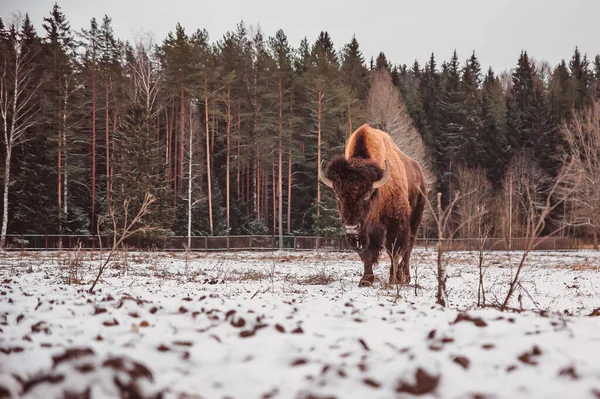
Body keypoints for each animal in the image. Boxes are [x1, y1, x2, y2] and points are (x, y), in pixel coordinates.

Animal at [318, 123, 426, 286]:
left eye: (367, 195)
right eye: (338, 195)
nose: (351, 227)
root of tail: (420, 173)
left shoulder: (395, 224)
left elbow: (393, 251)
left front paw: (393, 279)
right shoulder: (362, 233)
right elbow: (366, 254)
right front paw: (366, 280)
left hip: (415, 219)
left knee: (408, 248)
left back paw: (404, 277)